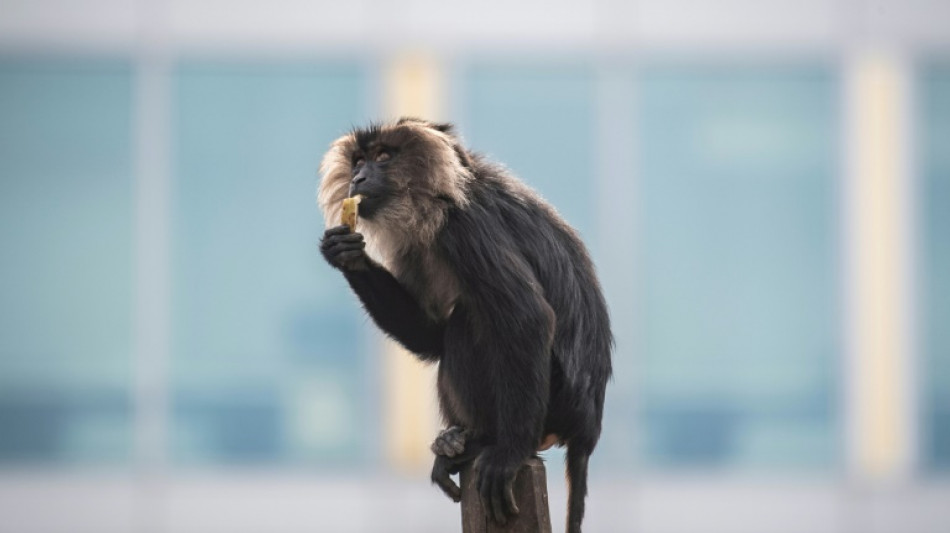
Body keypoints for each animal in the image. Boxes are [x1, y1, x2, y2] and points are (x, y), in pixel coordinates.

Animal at [318, 118, 612, 533]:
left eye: (383, 157)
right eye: (358, 161)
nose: (358, 177)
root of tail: (586, 429)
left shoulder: (464, 226)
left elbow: (528, 318)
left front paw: (508, 454)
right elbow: (428, 337)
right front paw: (346, 254)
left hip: (552, 401)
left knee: (470, 319)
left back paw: (485, 443)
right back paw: (454, 444)